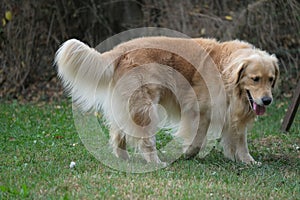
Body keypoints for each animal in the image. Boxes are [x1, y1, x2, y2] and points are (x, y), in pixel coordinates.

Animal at [54, 36, 278, 165]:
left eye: (271, 79)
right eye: (255, 78)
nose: (267, 100)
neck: (225, 71)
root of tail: (120, 50)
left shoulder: (233, 114)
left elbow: (240, 140)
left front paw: (247, 160)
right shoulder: (199, 109)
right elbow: (197, 139)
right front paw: (189, 153)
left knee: (119, 131)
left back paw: (123, 157)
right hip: (146, 107)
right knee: (145, 140)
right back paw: (155, 161)